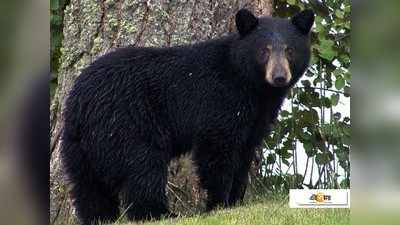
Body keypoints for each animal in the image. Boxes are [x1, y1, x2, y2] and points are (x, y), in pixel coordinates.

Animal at [61, 8, 314, 225]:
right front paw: (218, 204)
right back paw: (161, 213)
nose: (279, 77)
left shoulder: (256, 117)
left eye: (290, 50)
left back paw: (100, 217)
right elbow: (217, 151)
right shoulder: (220, 100)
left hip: (80, 145)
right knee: (143, 168)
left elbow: (244, 153)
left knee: (88, 186)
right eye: (264, 50)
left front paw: (236, 201)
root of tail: (80, 102)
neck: (252, 85)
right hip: (128, 124)